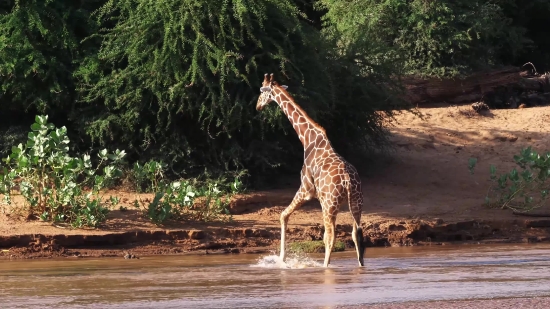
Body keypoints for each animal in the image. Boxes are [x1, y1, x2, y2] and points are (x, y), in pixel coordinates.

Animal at [258, 73, 366, 266]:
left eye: (261, 91)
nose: (257, 106)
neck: (307, 139)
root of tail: (348, 181)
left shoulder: (306, 189)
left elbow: (283, 215)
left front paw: (282, 259)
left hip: (329, 205)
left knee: (330, 237)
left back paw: (325, 267)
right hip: (356, 203)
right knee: (356, 234)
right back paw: (361, 266)